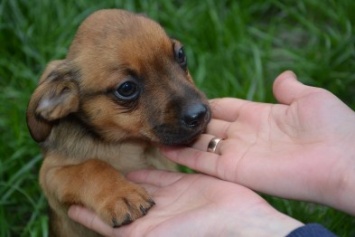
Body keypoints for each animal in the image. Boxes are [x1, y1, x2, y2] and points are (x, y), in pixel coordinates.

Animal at [27, 8, 211, 236]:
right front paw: (121, 195)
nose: (199, 114)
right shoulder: (50, 174)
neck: (128, 146)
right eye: (126, 88)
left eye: (181, 55)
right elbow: (91, 167)